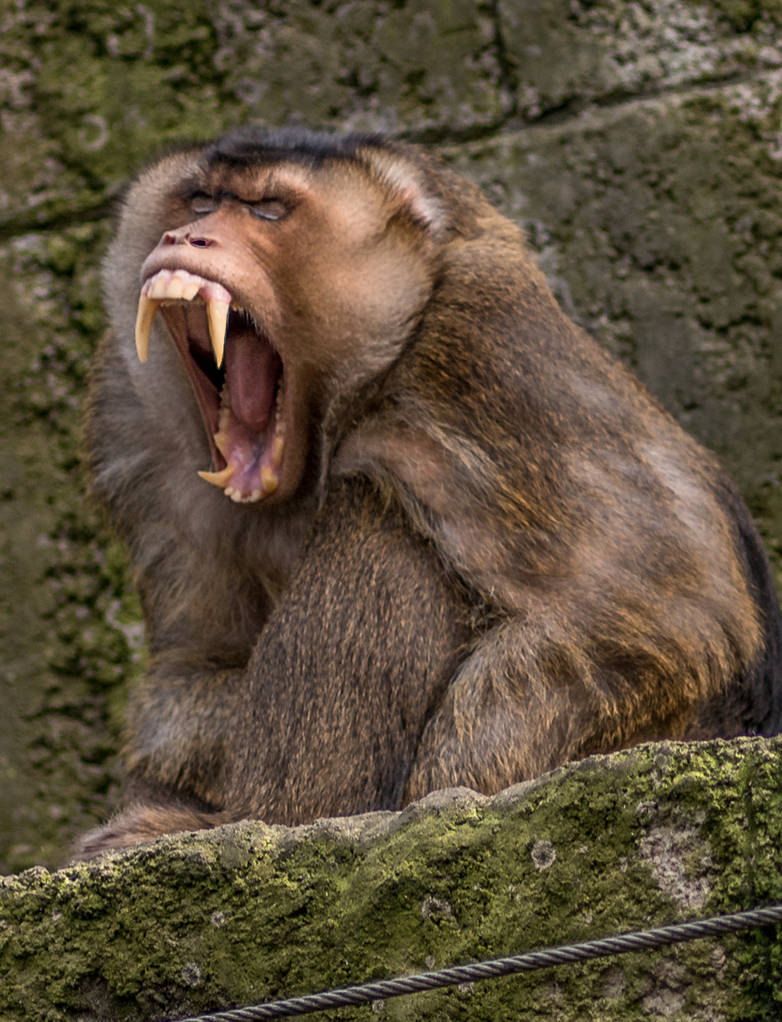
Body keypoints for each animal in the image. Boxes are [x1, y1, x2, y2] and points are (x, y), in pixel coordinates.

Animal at [76, 126, 782, 857]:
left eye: (268, 210)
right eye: (201, 201)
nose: (186, 238)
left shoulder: (487, 357)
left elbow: (670, 616)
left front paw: (441, 808)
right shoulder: (128, 418)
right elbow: (194, 668)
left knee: (379, 516)